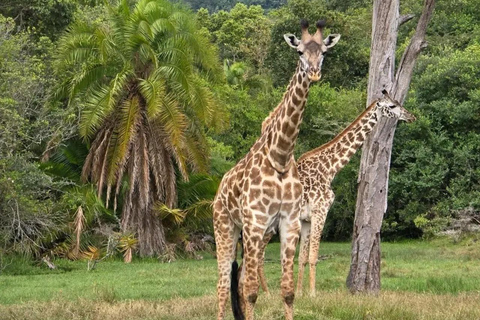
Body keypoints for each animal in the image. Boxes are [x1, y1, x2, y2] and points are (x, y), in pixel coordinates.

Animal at [212, 20, 340, 320]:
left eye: (324, 52)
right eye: (299, 51)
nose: (314, 73)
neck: (279, 157)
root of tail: (219, 190)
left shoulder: (289, 223)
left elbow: (288, 291)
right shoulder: (256, 223)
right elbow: (251, 292)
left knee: (237, 281)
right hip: (225, 227)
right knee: (223, 286)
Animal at [258, 90, 416, 298]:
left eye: (398, 102)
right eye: (392, 106)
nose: (411, 116)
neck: (330, 169)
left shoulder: (306, 219)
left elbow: (302, 258)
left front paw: (299, 293)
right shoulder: (321, 211)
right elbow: (313, 256)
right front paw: (313, 294)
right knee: (256, 253)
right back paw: (263, 293)